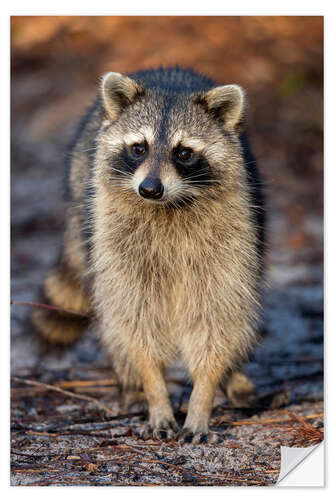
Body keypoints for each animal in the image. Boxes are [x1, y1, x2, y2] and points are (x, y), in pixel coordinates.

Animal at [32, 65, 264, 442]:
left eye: (184, 153)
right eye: (139, 148)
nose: (150, 189)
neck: (168, 206)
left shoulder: (229, 240)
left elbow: (217, 318)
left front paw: (204, 394)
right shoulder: (116, 241)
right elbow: (134, 321)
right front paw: (153, 388)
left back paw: (235, 378)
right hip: (87, 221)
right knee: (111, 314)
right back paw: (131, 383)